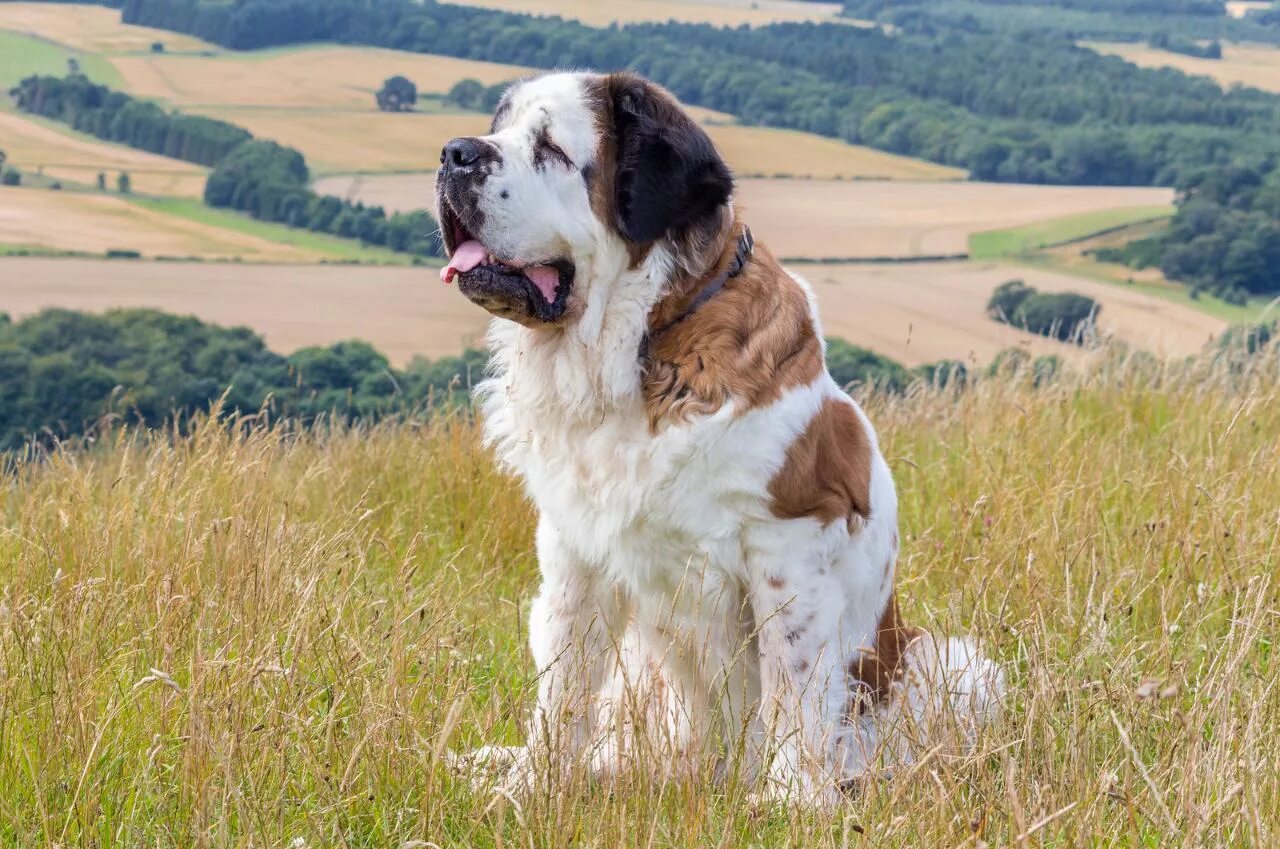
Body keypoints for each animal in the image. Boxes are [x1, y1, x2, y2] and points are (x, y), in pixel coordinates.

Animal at [440, 71, 1008, 804]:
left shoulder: (788, 539)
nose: (454, 153)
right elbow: (563, 684)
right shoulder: (575, 549)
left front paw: (793, 800)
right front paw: (532, 786)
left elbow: (792, 679)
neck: (649, 342)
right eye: (499, 129)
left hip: (950, 666)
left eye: (552, 149)